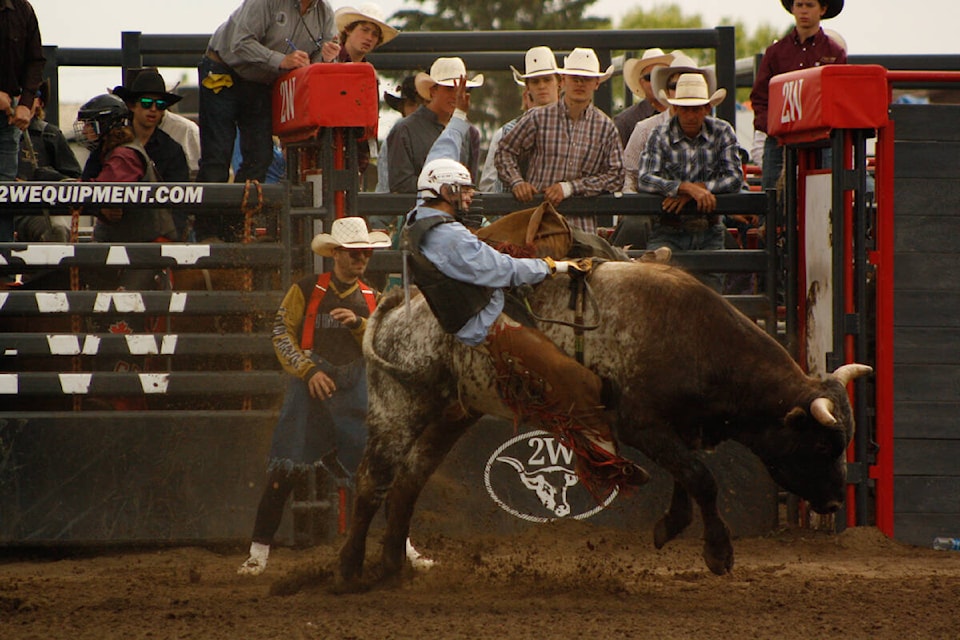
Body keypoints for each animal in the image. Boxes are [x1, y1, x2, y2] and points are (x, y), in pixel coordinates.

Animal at [336, 220, 872, 584]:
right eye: (821, 445)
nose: (832, 501)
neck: (694, 336)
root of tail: (396, 304)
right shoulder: (640, 424)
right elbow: (702, 477)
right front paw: (718, 553)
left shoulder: (679, 429)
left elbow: (688, 476)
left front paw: (669, 525)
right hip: (398, 405)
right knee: (371, 480)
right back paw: (348, 572)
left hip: (450, 413)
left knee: (408, 482)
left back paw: (391, 570)